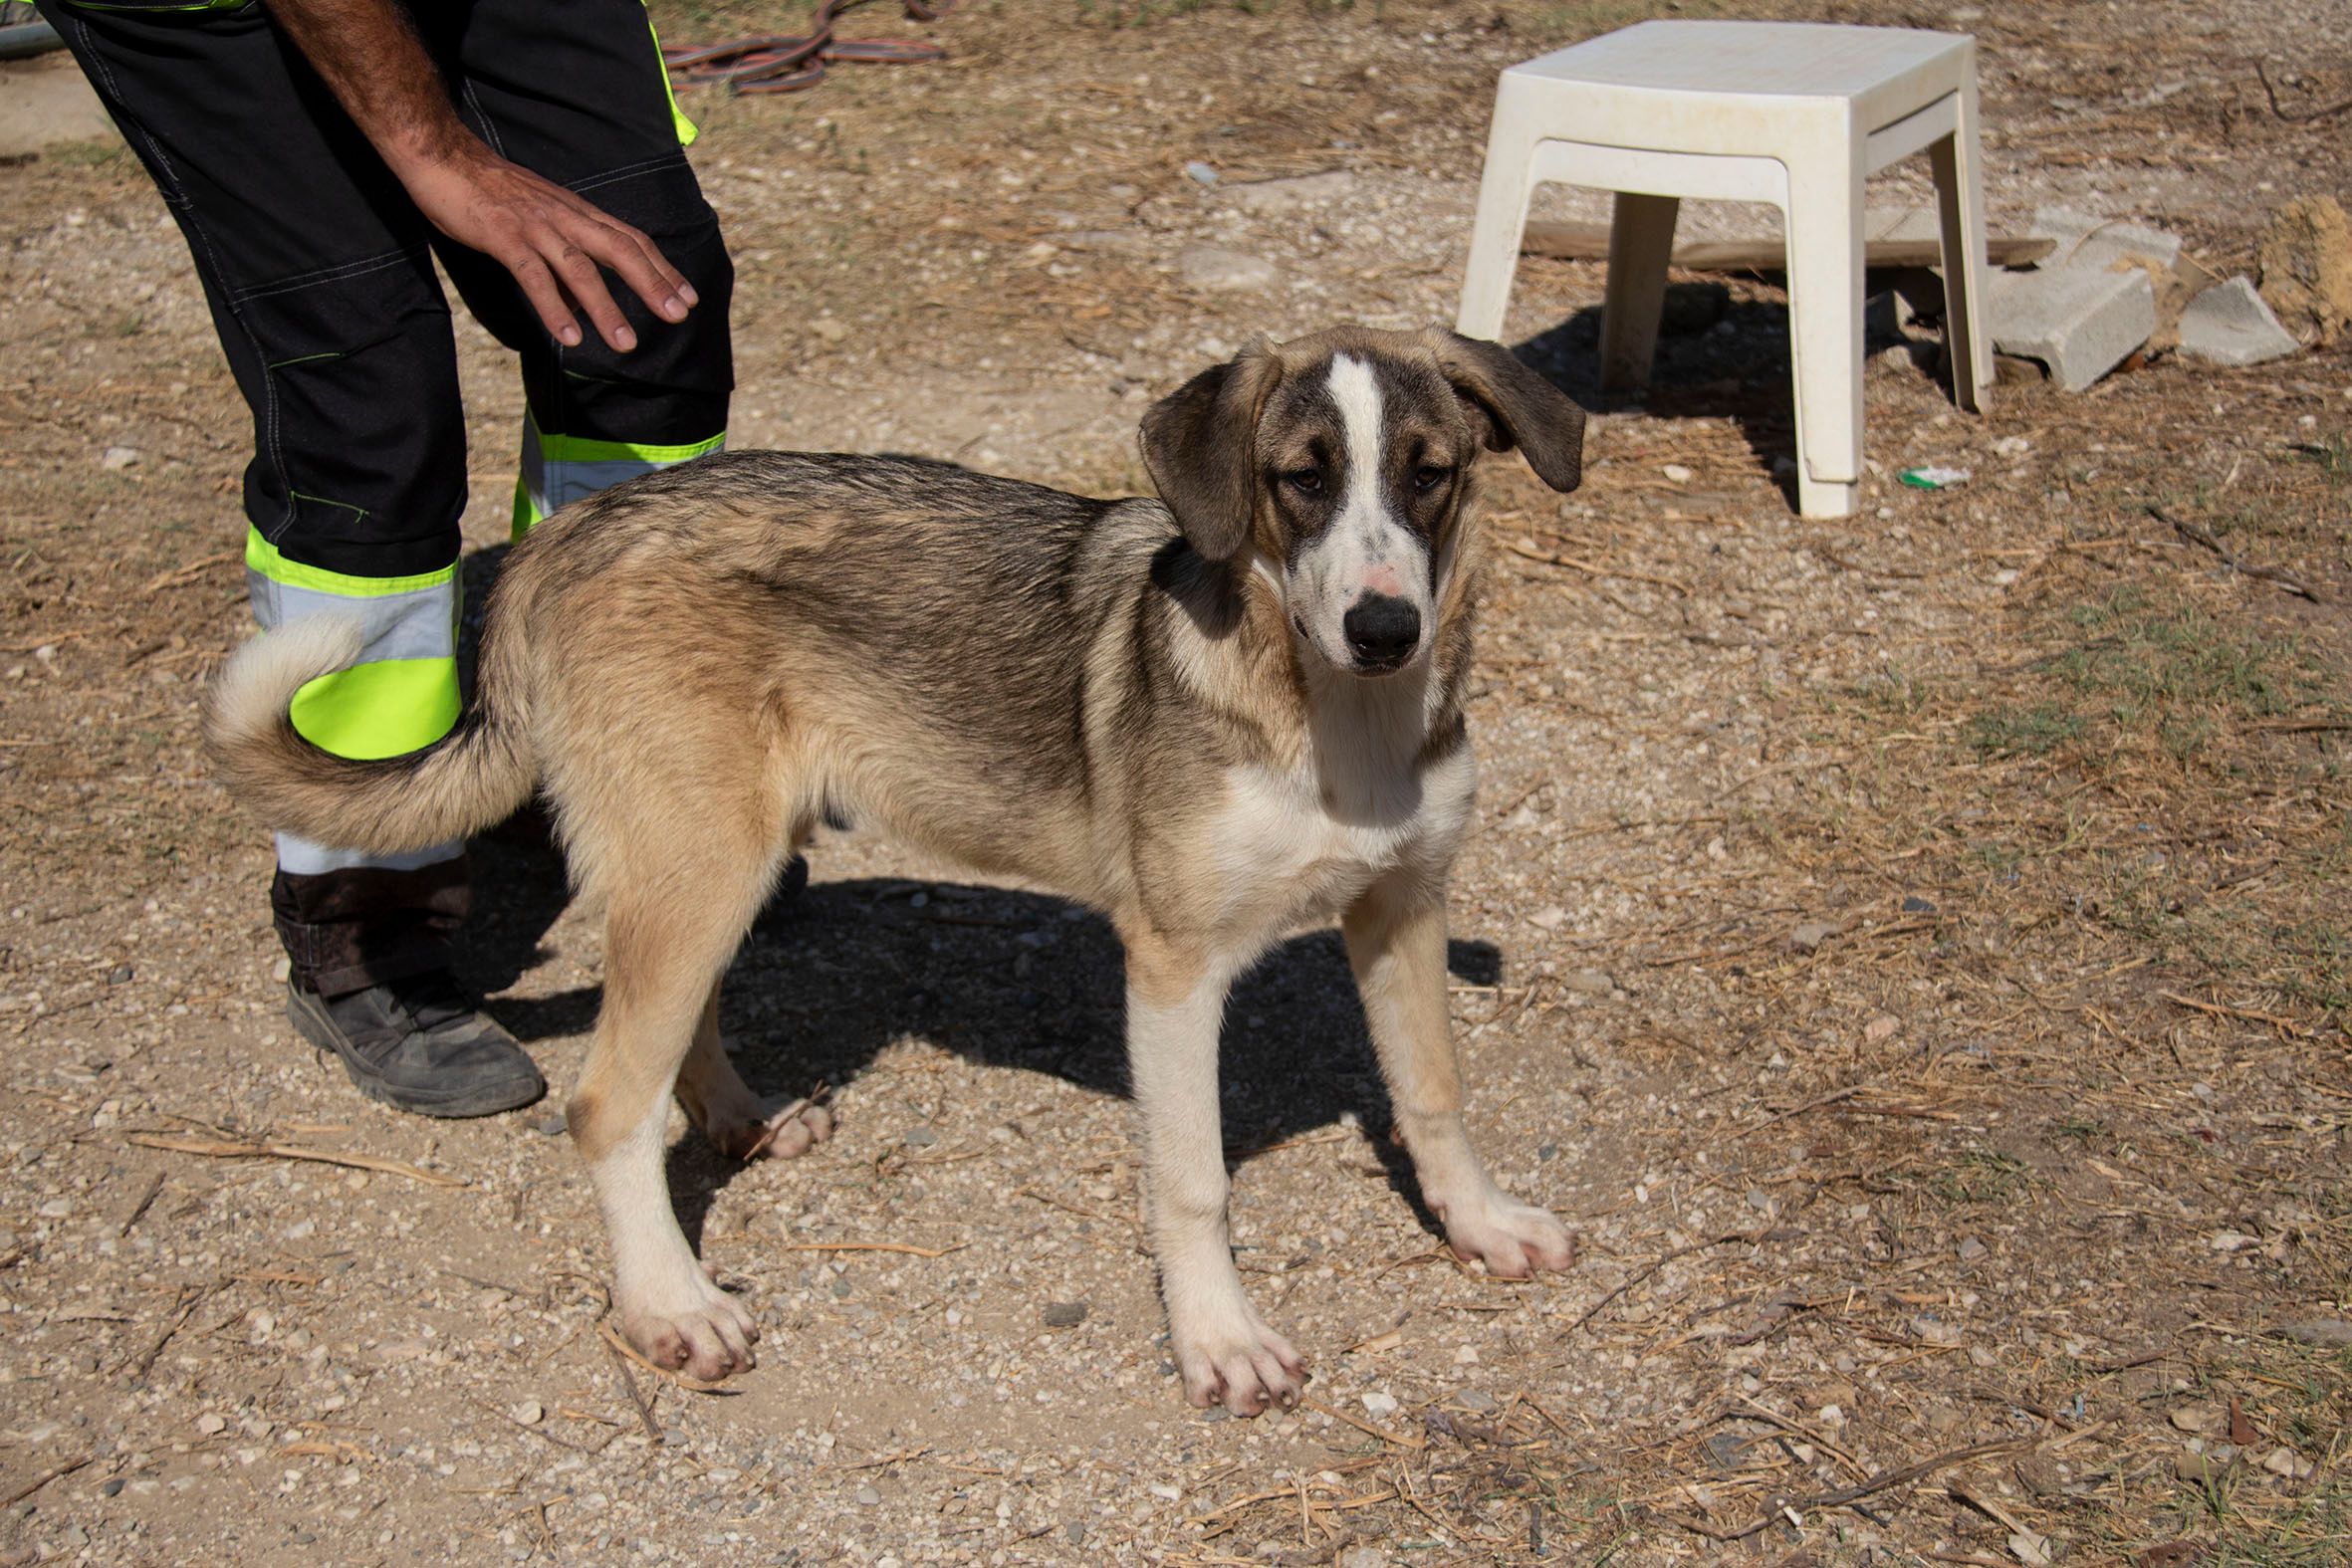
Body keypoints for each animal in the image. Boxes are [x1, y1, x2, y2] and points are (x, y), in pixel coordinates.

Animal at [205, 325, 1588, 1415]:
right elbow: (1192, 1182)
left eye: (1430, 476)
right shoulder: (1173, 968)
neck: (1329, 717)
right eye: (1300, 481)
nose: (1385, 628)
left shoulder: (1403, 907)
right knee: (604, 1103)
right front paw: (1220, 1340)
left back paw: (741, 1120)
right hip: (699, 859)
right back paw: (671, 1305)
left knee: (674, 1028)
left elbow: (1434, 1097)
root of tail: (577, 529)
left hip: (723, 859)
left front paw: (1479, 1225)